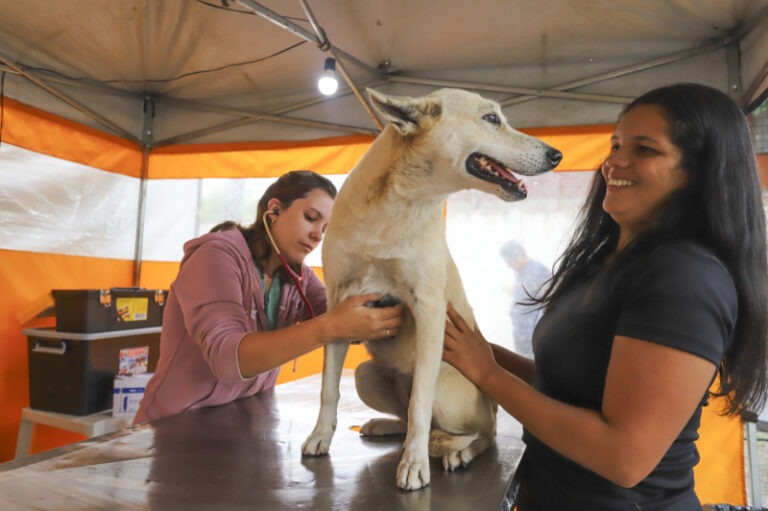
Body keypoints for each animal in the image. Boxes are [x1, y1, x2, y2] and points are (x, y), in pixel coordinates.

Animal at [304, 89, 560, 492]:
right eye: (491, 118)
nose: (556, 155)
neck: (396, 208)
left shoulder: (427, 309)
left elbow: (419, 403)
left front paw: (414, 464)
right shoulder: (339, 304)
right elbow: (328, 388)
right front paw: (320, 436)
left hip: (452, 392)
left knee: (481, 432)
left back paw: (459, 452)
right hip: (366, 375)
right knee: (407, 417)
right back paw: (386, 426)